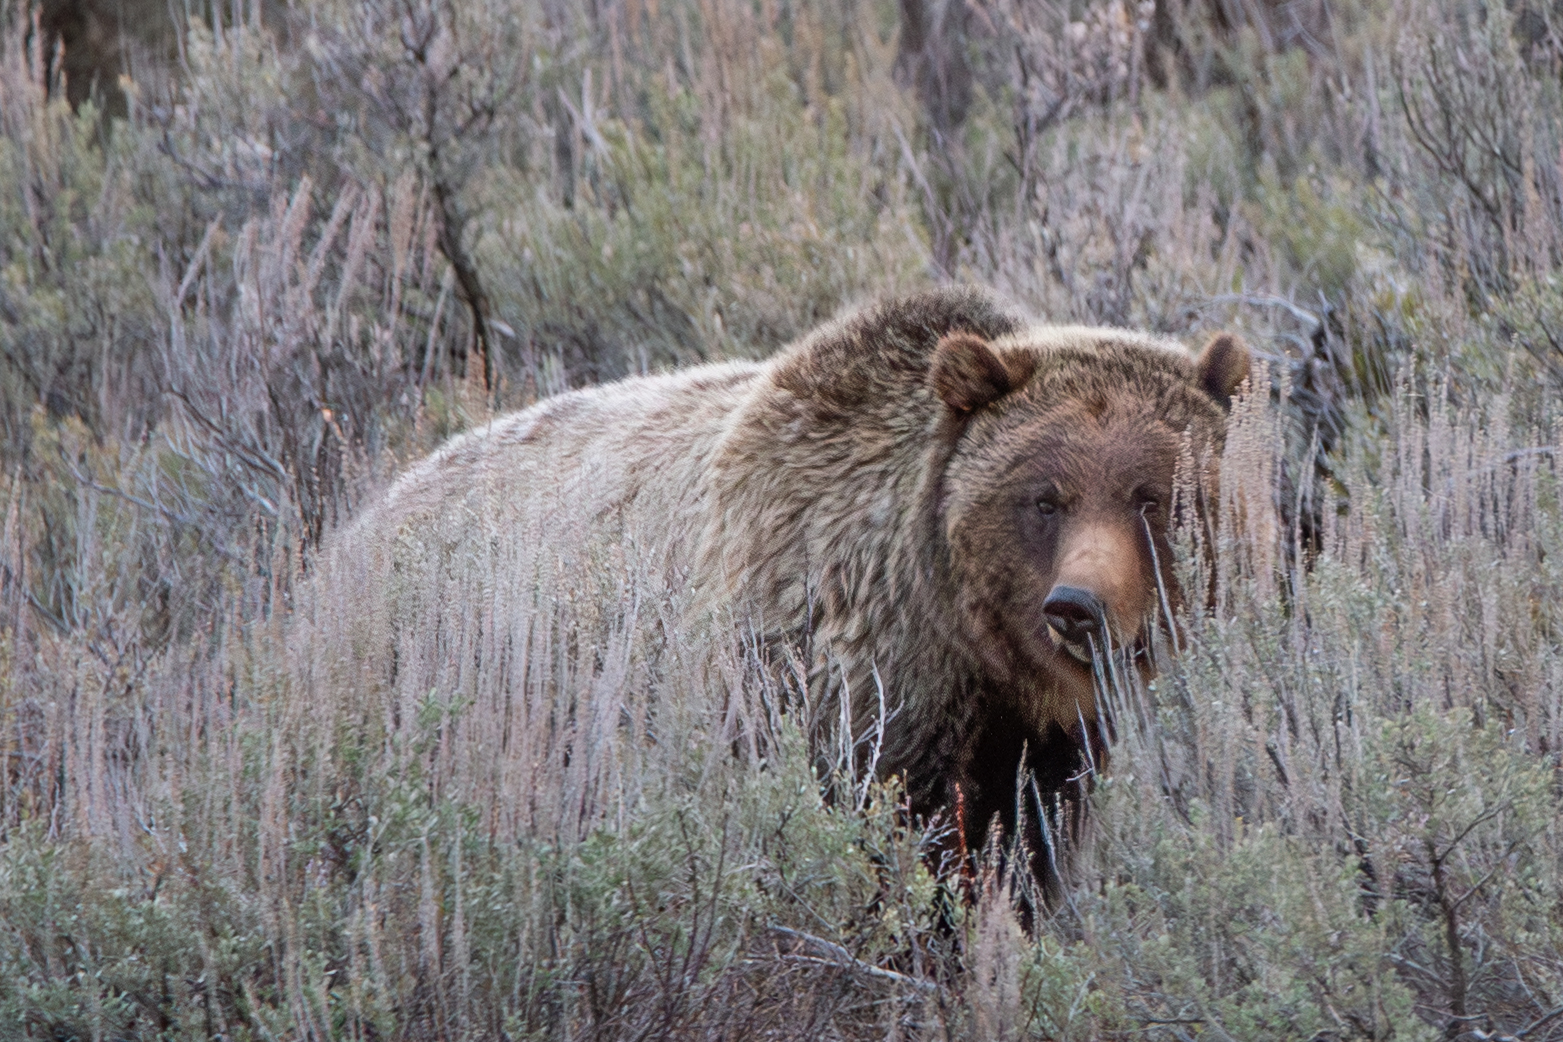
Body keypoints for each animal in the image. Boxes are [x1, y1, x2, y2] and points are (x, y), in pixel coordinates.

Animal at [339, 285, 1248, 888]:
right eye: (1044, 497)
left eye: (1153, 498)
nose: (1076, 609)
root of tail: (359, 520)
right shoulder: (831, 678)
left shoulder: (1043, 740)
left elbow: (1027, 847)